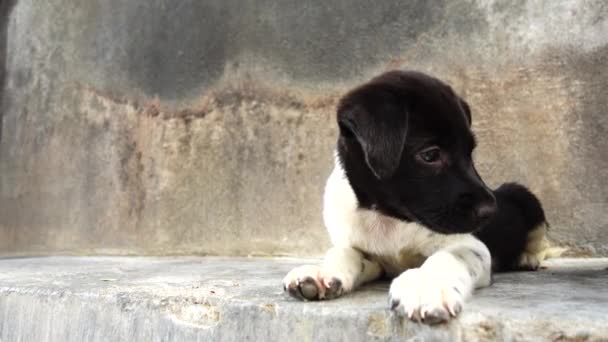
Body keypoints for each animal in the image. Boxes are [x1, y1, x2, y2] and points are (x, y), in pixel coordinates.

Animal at [282, 70, 560, 324]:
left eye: (470, 152)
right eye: (430, 155)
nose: (490, 211)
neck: (390, 219)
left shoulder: (472, 245)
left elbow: (446, 257)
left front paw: (426, 285)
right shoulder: (369, 254)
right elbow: (342, 252)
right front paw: (320, 272)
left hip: (525, 198)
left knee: (538, 239)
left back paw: (528, 258)